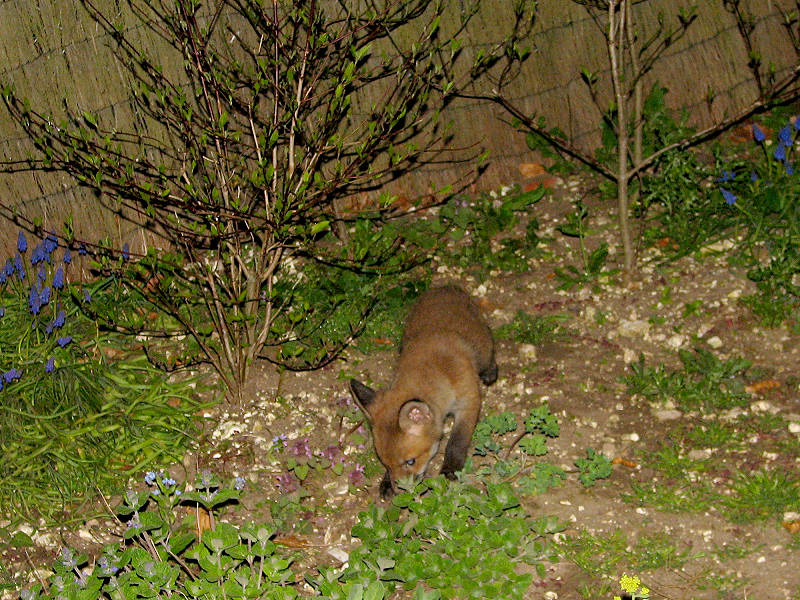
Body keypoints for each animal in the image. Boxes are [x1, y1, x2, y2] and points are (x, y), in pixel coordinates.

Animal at [349, 285, 497, 498]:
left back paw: (491, 371)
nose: (401, 491)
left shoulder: (469, 401)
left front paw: (450, 469)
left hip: (483, 351)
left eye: (410, 461)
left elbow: (457, 441)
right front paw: (386, 482)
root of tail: (446, 287)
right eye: (386, 464)